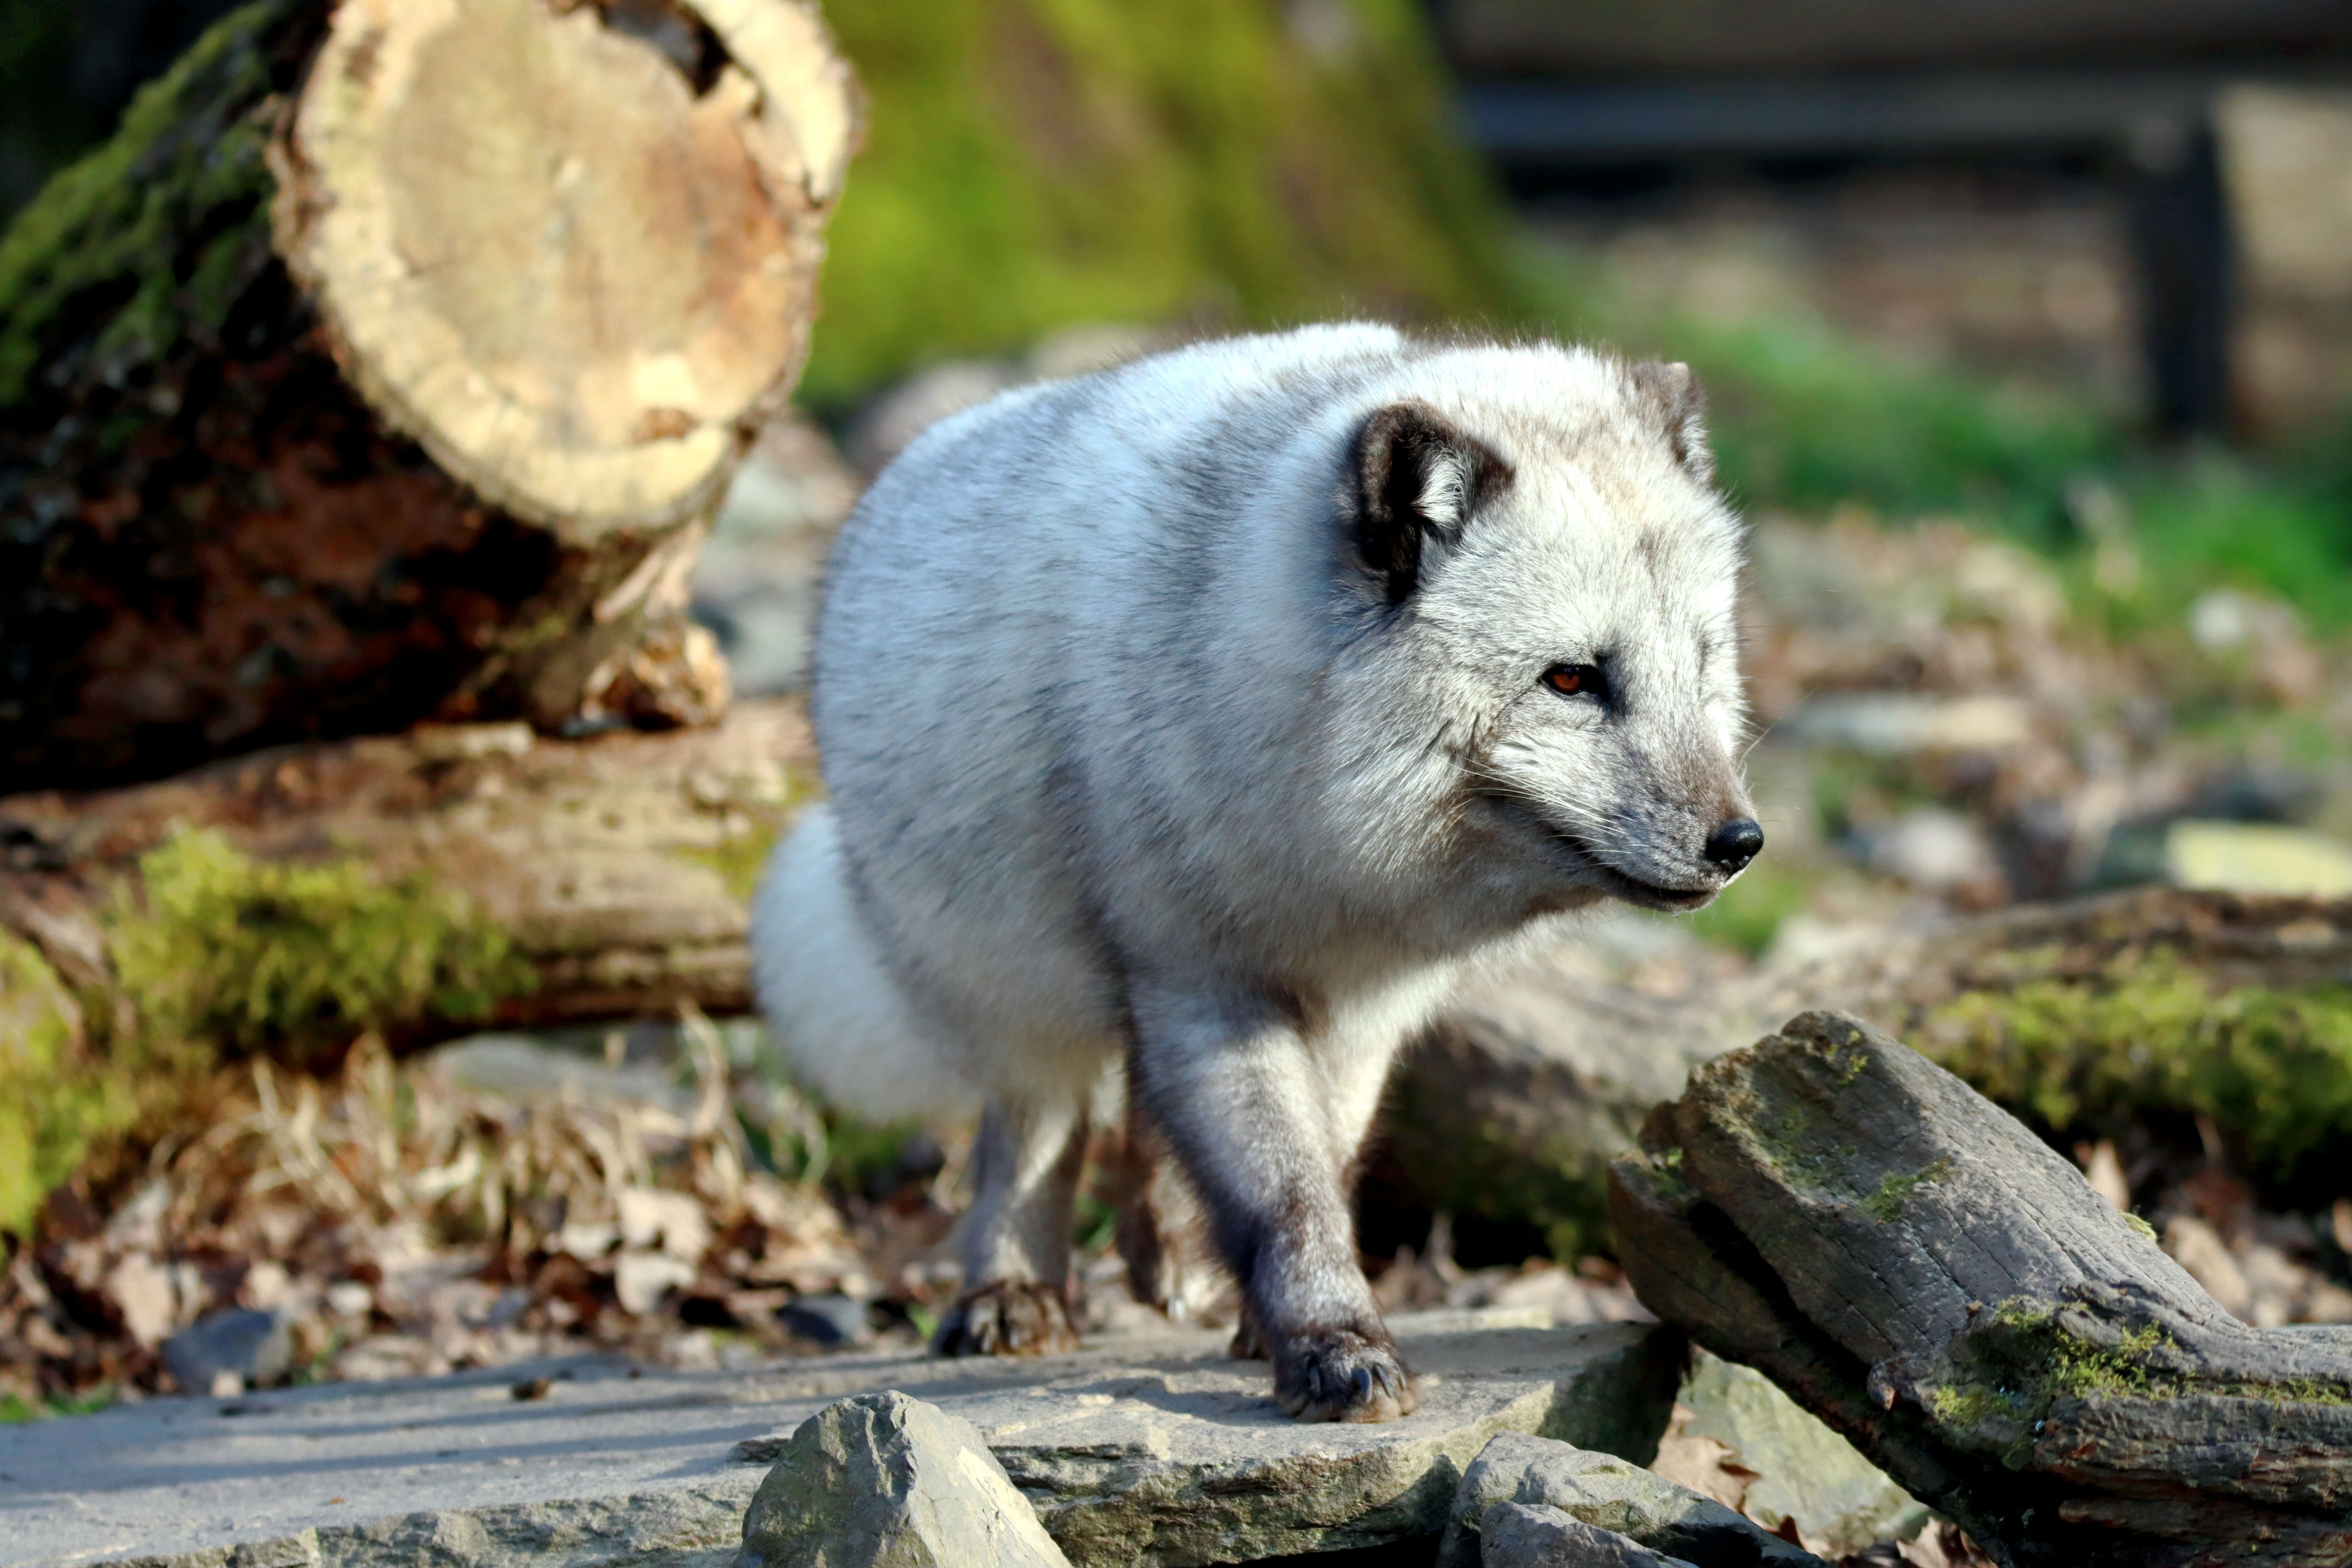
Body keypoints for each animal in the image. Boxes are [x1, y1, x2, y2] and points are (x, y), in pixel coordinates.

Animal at [751, 324, 1760, 1423]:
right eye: (1571, 679)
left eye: (1700, 664)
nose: (1739, 842)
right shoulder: (1201, 980)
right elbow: (1284, 1190)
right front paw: (1334, 1344)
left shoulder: (1363, 1012)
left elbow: (1323, 1158)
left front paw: (1266, 1315)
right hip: (1011, 983)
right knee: (1033, 1135)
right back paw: (1009, 1292)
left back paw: (1173, 1259)